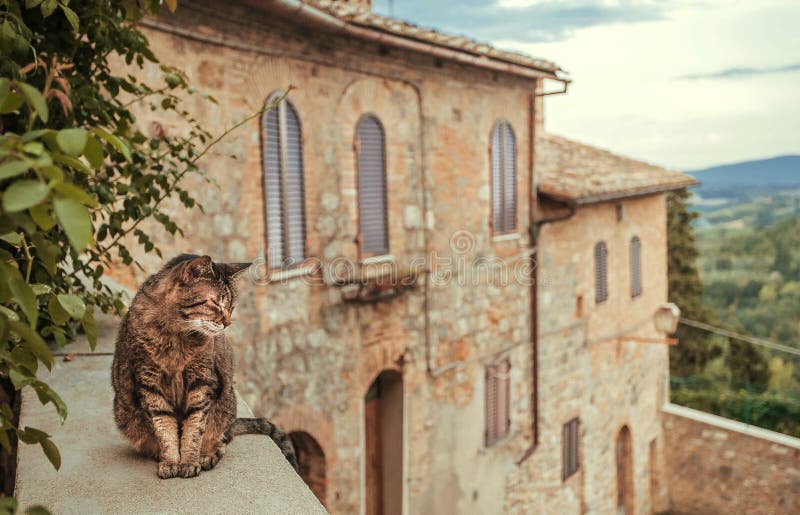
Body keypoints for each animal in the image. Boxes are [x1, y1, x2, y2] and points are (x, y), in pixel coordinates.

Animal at [111, 254, 296, 480]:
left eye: (232, 306)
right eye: (215, 303)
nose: (227, 323)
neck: (176, 335)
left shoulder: (202, 381)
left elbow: (195, 427)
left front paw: (190, 461)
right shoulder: (149, 382)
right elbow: (164, 428)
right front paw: (171, 461)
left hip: (226, 404)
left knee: (222, 439)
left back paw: (207, 455)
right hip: (124, 414)